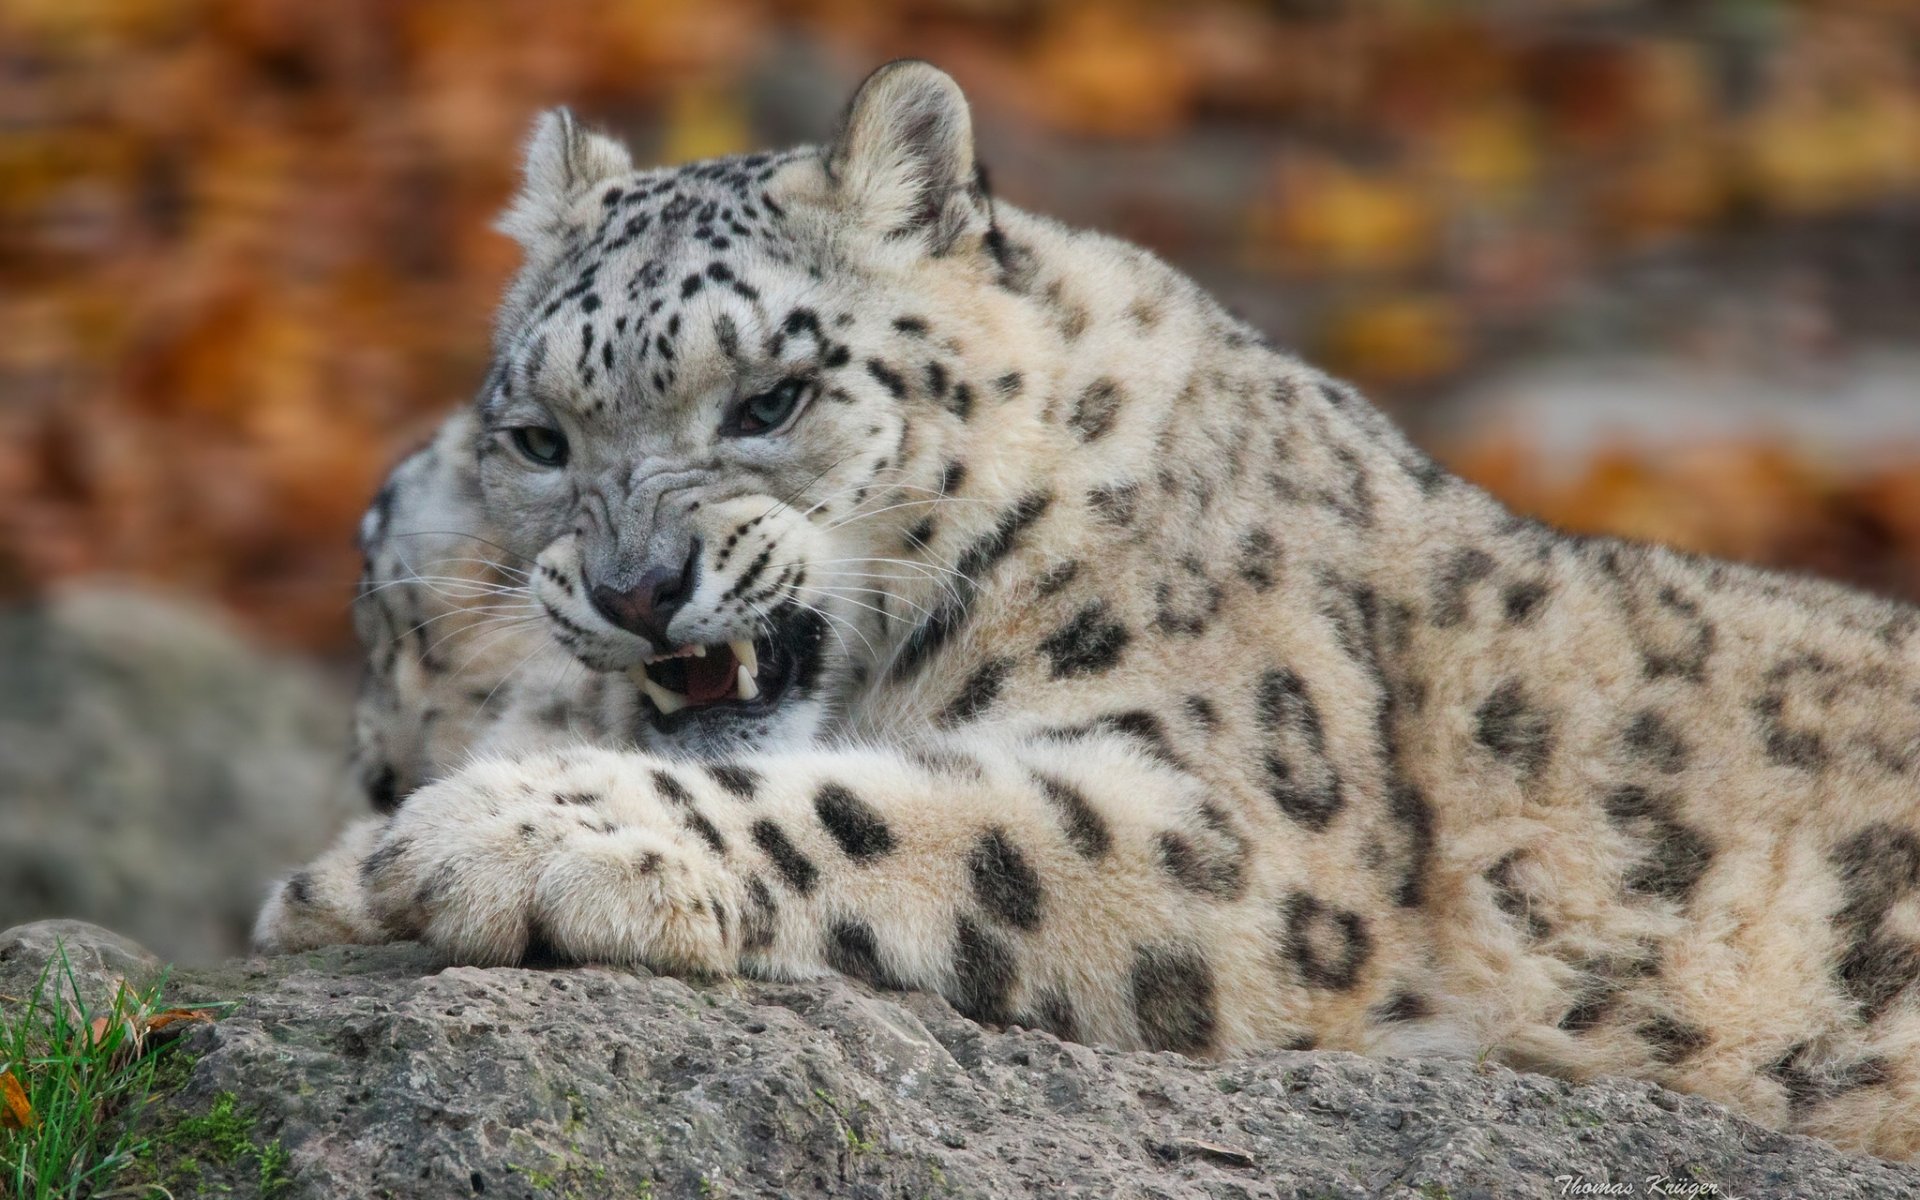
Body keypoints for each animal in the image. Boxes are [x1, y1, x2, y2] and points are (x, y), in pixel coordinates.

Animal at [254, 61, 1920, 1160]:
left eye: (773, 395)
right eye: (538, 436)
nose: (633, 584)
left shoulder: (1237, 837)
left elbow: (893, 814)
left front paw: (488, 838)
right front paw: (342, 877)